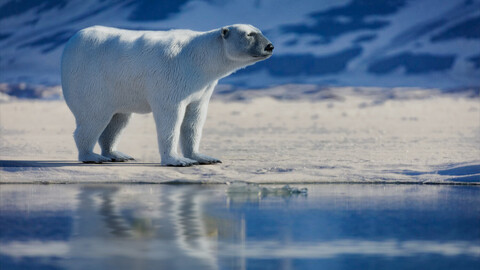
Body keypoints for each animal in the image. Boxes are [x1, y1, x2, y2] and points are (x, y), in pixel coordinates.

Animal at [62, 24, 274, 166]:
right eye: (249, 34)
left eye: (259, 31)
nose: (270, 46)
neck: (198, 57)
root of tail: (72, 41)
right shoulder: (171, 76)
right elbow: (170, 117)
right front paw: (177, 160)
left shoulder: (201, 86)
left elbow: (194, 118)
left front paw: (204, 157)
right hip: (92, 81)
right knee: (94, 117)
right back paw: (91, 156)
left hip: (119, 89)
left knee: (118, 119)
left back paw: (116, 154)